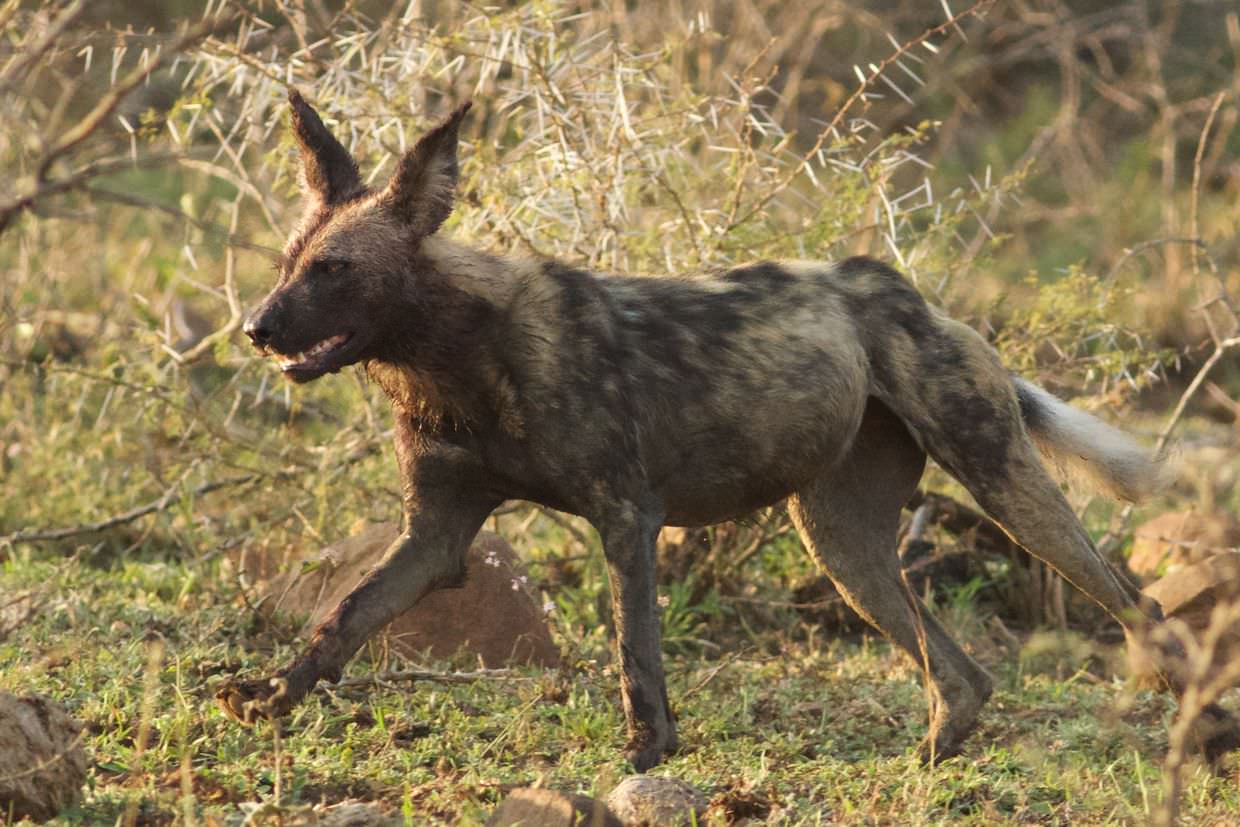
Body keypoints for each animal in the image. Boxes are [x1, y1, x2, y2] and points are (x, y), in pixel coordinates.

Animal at [220, 89, 1240, 768]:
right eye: (288, 262)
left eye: (335, 269)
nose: (257, 328)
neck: (454, 357)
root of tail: (907, 293)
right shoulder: (433, 536)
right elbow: (343, 620)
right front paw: (270, 697)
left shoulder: (626, 519)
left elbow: (635, 654)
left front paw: (646, 755)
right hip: (842, 544)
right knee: (964, 674)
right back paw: (936, 753)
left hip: (1002, 485)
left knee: (1134, 603)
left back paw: (1204, 729)